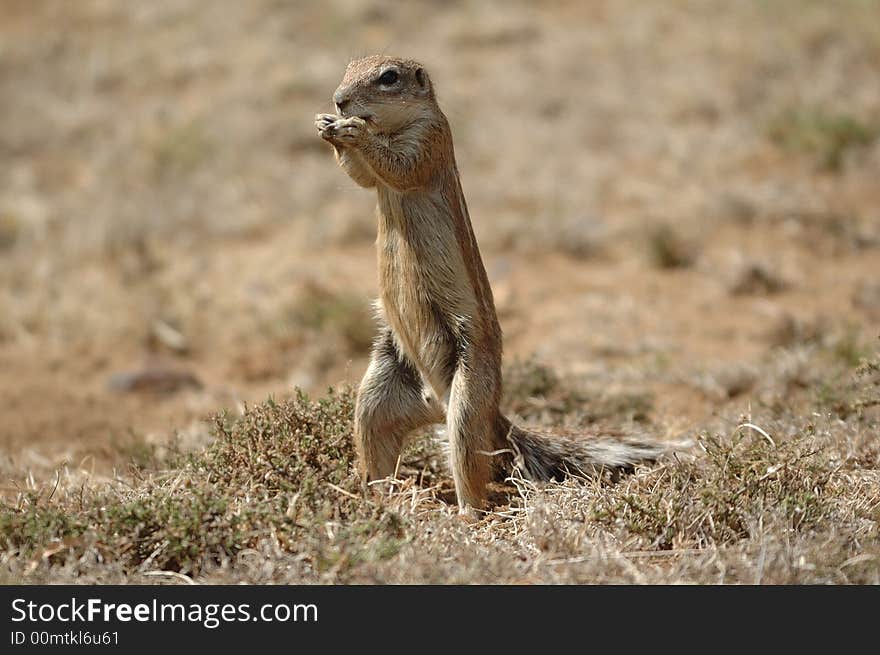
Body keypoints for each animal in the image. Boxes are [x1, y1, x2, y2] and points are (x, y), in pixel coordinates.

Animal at [316, 55, 660, 512]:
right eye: (349, 66)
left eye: (388, 77)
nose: (339, 101)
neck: (394, 125)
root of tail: (436, 405)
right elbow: (364, 178)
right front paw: (327, 128)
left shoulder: (431, 140)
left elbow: (399, 169)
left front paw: (354, 133)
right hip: (378, 392)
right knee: (377, 442)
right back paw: (376, 497)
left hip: (467, 397)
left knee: (472, 472)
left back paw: (463, 513)